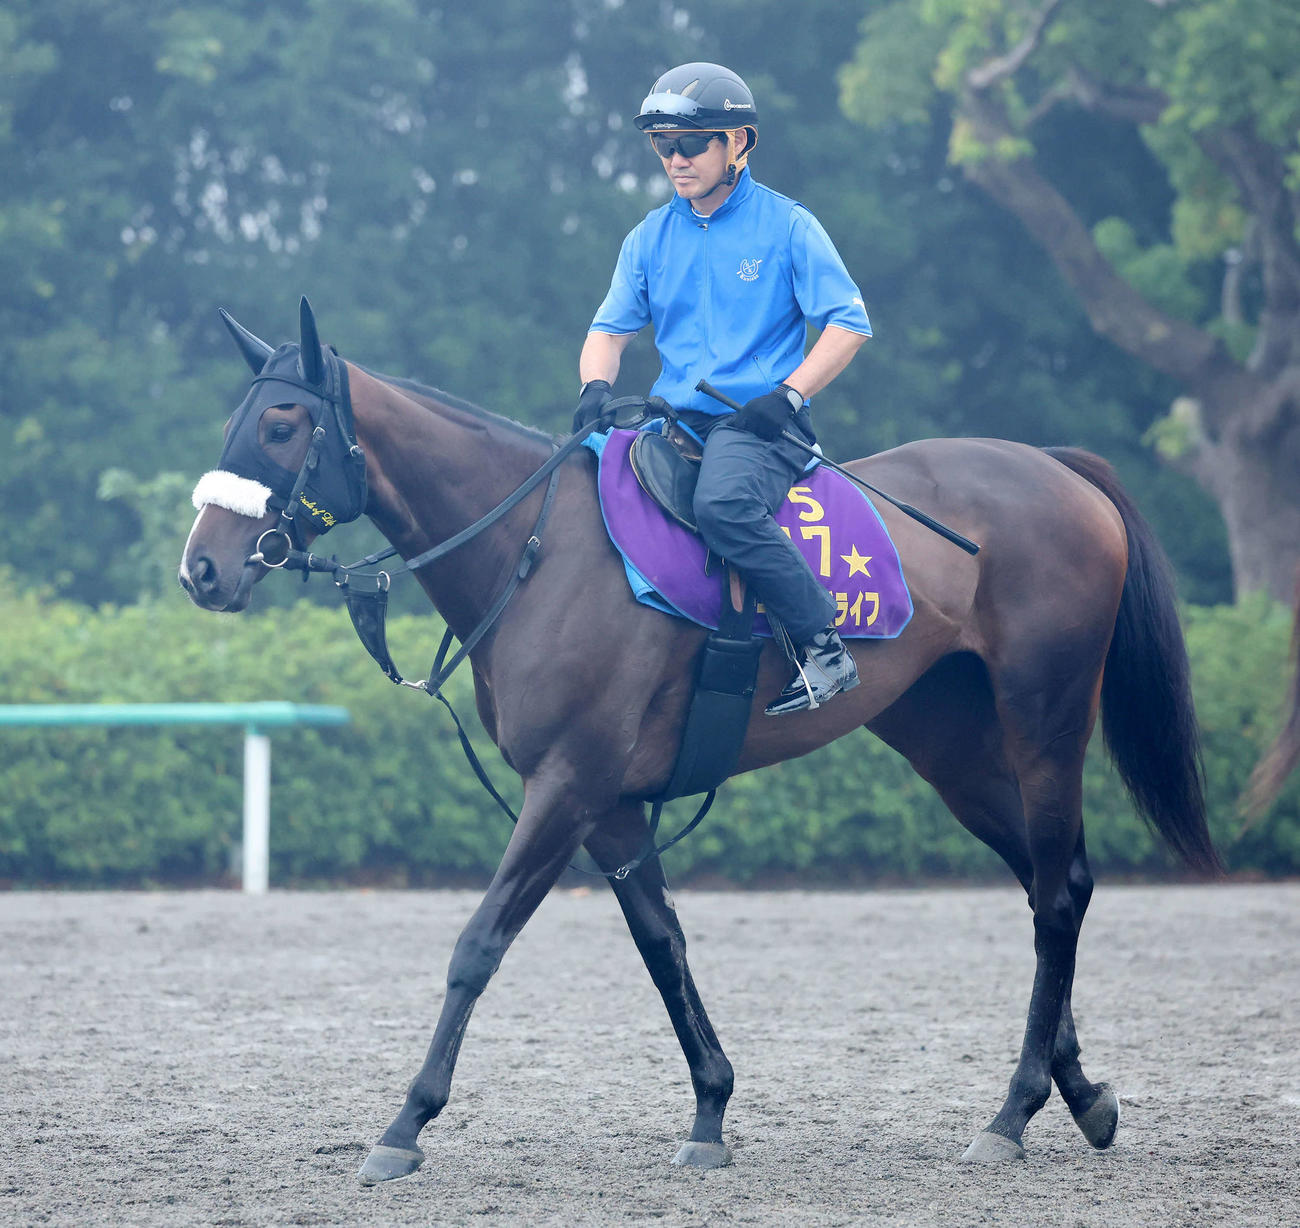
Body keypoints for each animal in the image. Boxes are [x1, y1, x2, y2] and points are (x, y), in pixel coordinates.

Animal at [179, 299, 1220, 1184]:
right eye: (234, 422)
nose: (202, 571)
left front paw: (404, 1125)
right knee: (1056, 882)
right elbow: (662, 943)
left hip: (1045, 722)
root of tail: (1055, 468)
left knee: (1057, 896)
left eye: (282, 426)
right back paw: (1079, 1098)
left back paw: (1012, 1112)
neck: (538, 553)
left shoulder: (566, 786)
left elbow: (479, 945)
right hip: (952, 749)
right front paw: (712, 1112)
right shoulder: (607, 805)